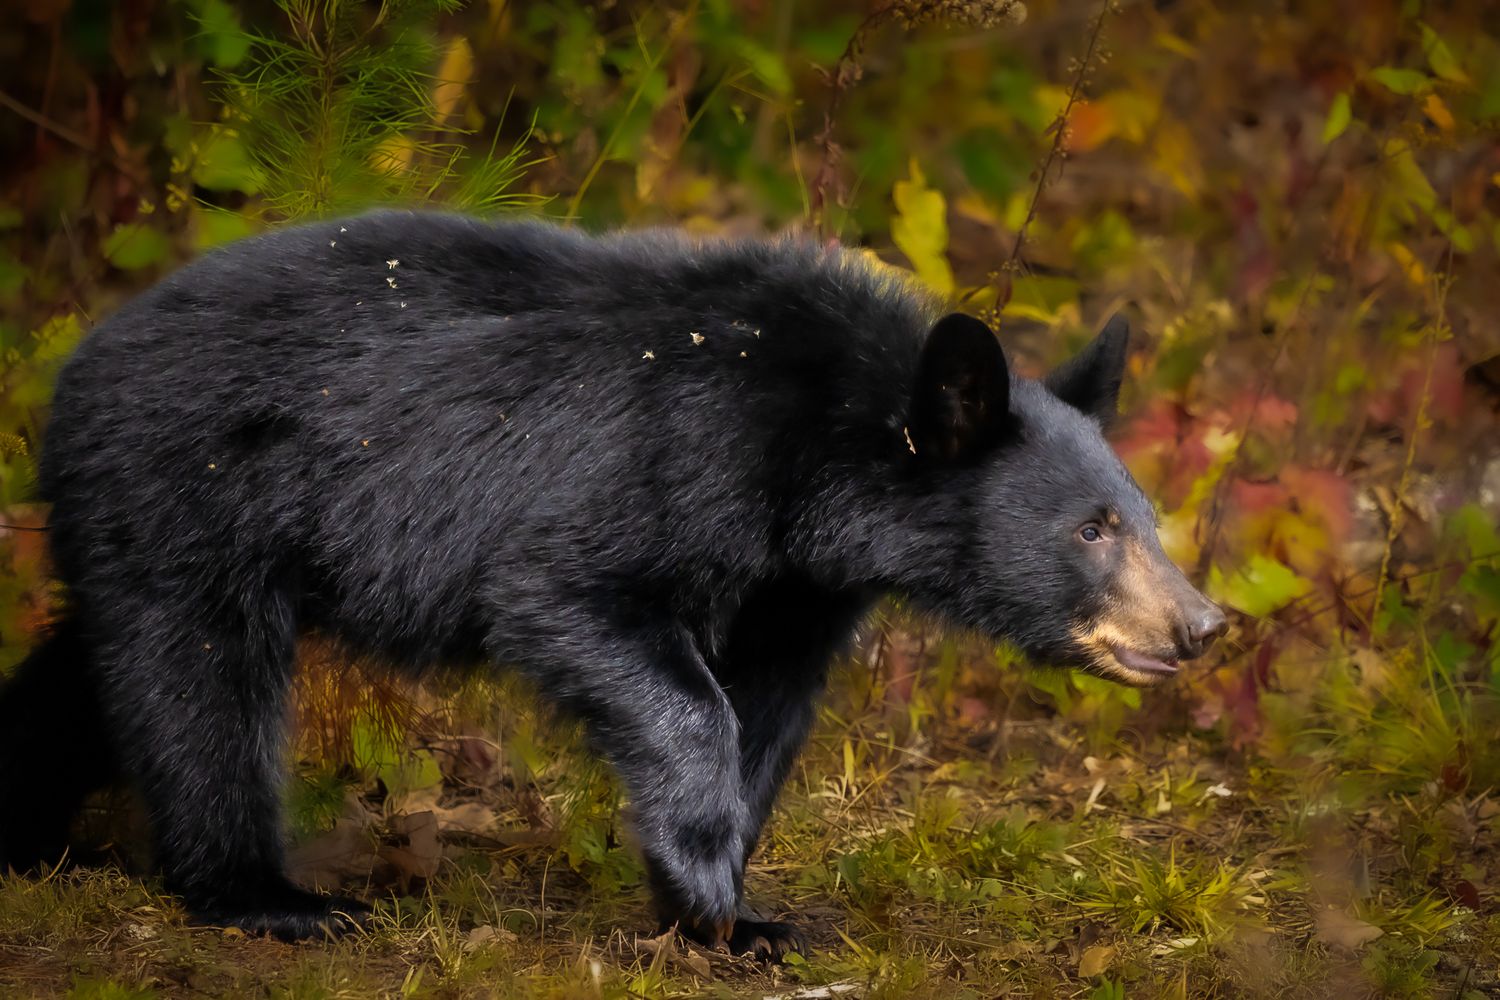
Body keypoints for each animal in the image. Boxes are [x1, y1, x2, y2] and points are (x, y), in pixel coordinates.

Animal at [0, 210, 1226, 958]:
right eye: (1092, 527)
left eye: (1143, 516)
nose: (1203, 625)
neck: (812, 445)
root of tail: (77, 364)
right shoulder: (662, 461)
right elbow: (589, 609)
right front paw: (705, 888)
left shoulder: (795, 581)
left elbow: (765, 707)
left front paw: (737, 911)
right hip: (193, 489)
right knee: (199, 684)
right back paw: (268, 897)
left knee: (99, 671)